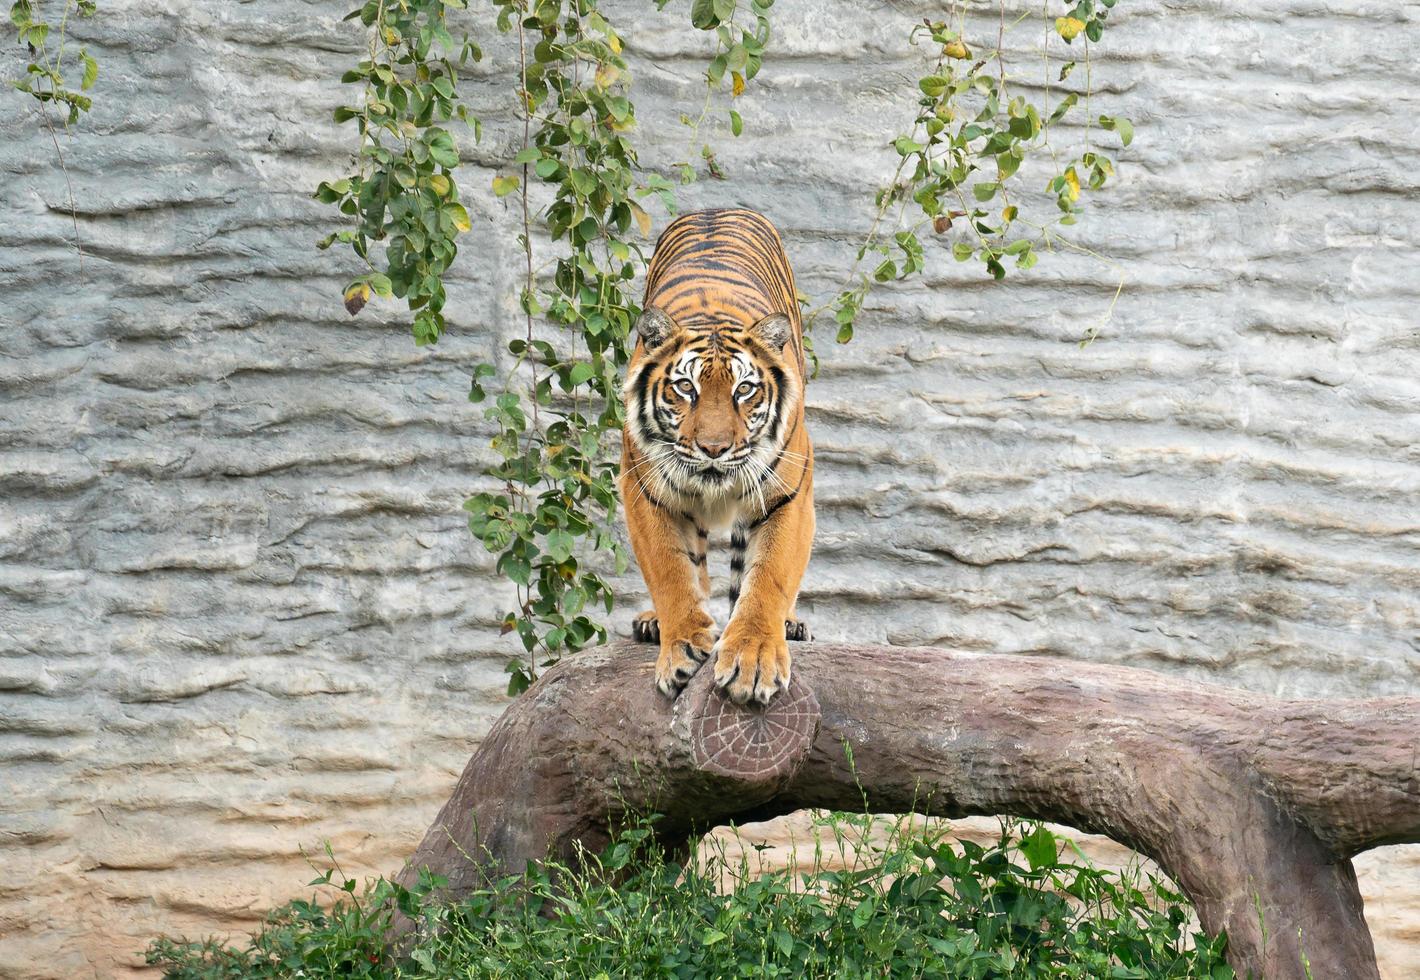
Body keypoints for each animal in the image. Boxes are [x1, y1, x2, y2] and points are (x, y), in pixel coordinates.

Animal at [619, 210, 812, 707]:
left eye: (744, 389)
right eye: (685, 387)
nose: (713, 448)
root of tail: (719, 208)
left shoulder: (787, 495)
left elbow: (769, 577)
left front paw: (754, 657)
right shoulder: (645, 490)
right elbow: (671, 571)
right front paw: (683, 643)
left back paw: (789, 624)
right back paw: (655, 622)